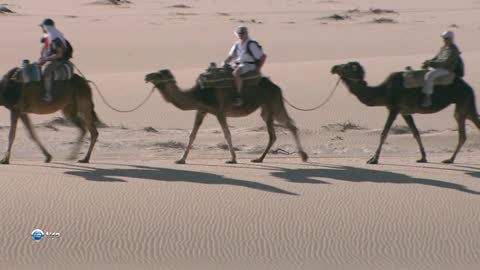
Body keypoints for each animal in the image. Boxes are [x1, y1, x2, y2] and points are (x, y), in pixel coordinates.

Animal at [144, 68, 308, 163]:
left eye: (158, 74)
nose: (146, 76)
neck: (198, 94)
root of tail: (277, 87)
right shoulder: (201, 110)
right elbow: (192, 135)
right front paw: (181, 159)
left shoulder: (219, 111)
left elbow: (227, 134)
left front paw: (233, 159)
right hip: (266, 108)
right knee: (276, 132)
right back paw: (260, 158)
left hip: (274, 102)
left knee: (289, 126)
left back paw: (303, 156)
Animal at [330, 62, 480, 165]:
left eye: (346, 67)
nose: (333, 67)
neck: (384, 91)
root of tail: (469, 87)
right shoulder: (405, 112)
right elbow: (415, 133)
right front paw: (423, 157)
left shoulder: (394, 108)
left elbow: (384, 134)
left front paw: (373, 159)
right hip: (465, 105)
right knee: (465, 130)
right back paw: (450, 159)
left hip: (463, 101)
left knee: (463, 131)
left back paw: (449, 159)